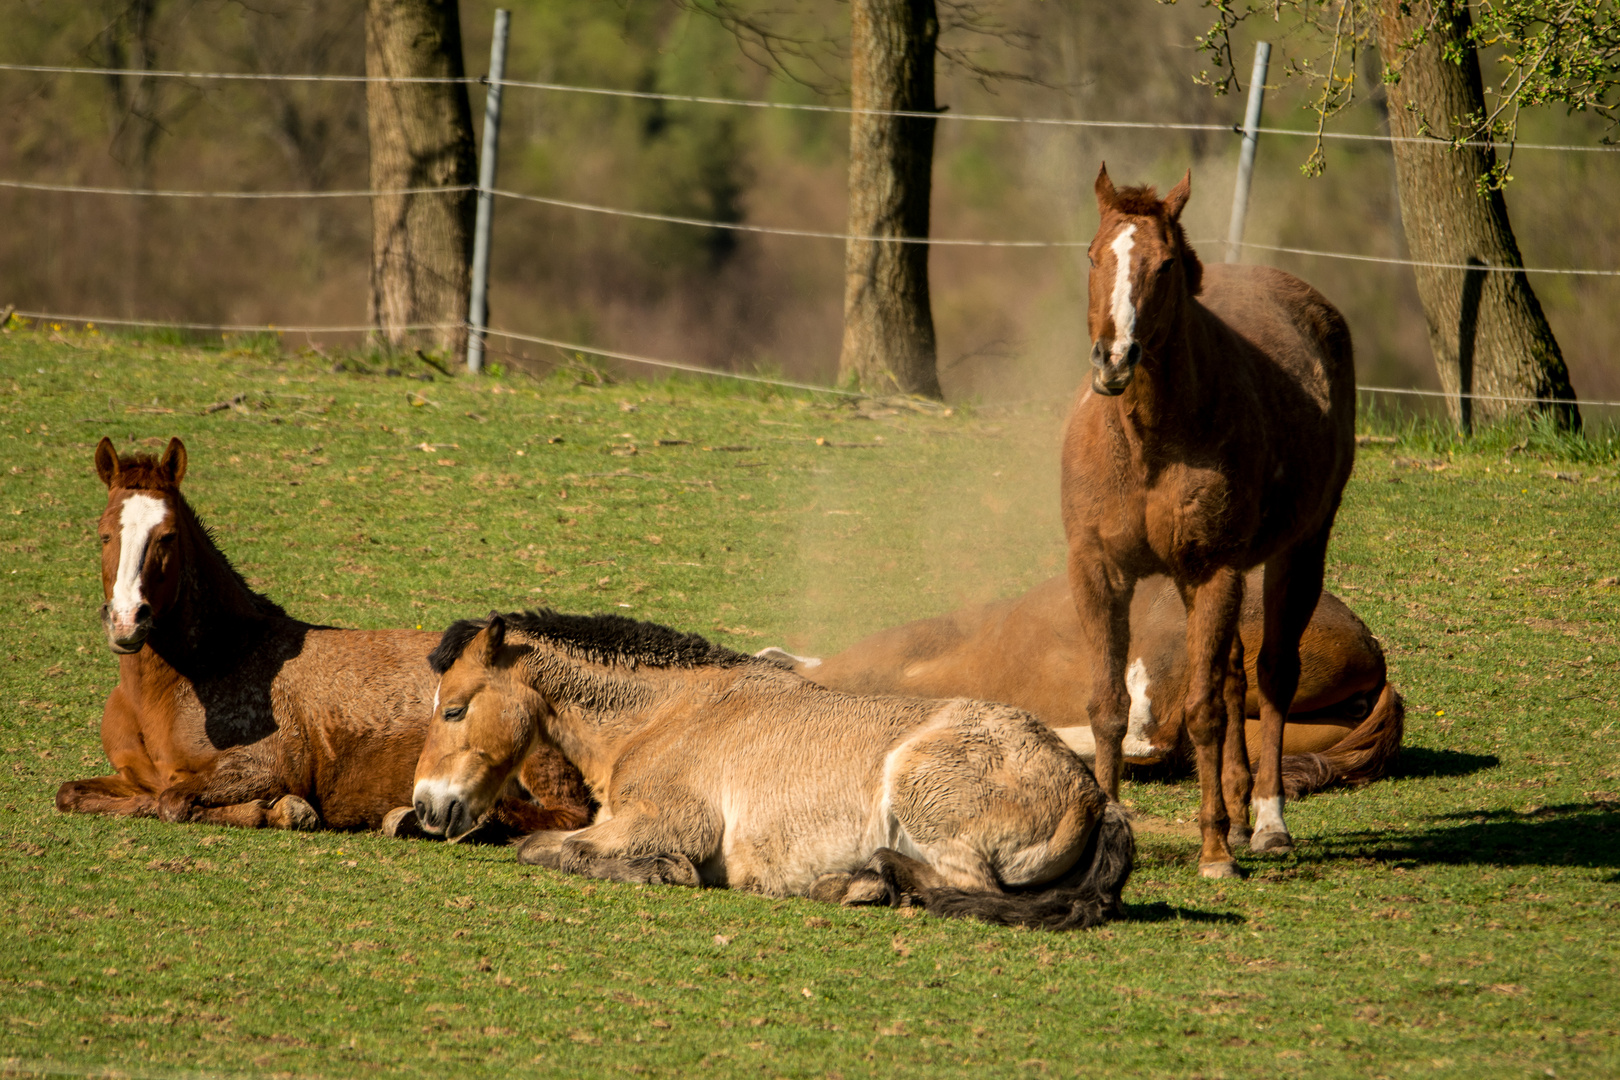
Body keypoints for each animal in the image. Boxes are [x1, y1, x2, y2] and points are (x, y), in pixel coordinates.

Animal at [58, 440, 602, 835]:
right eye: (104, 532)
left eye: (167, 536)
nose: (128, 621)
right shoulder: (132, 777)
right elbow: (74, 794)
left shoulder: (267, 767)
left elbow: (173, 801)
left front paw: (282, 810)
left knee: (562, 815)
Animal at [411, 612, 1134, 932]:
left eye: (454, 709)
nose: (425, 806)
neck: (667, 715)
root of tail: (1093, 794)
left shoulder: (661, 822)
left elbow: (542, 847)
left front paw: (662, 870)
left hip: (921, 790)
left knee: (960, 887)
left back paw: (866, 881)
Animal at [1069, 169, 1360, 880]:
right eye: (1092, 256)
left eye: (1165, 264)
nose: (1113, 359)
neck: (1147, 440)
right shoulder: (1100, 572)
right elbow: (1108, 708)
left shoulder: (1215, 570)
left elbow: (1203, 711)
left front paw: (1214, 850)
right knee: (1231, 679)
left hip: (1296, 553)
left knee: (1270, 675)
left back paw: (1265, 822)